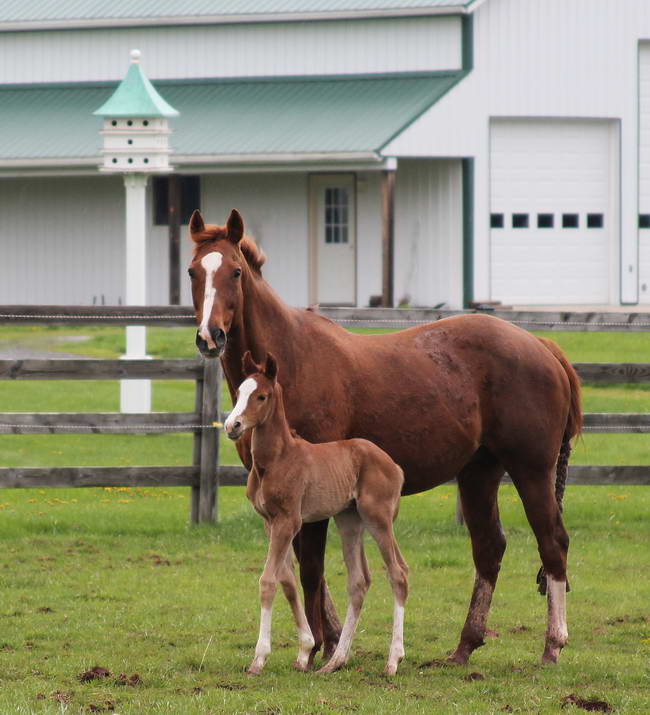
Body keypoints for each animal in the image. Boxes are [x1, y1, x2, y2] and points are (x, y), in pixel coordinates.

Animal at [223, 352, 404, 676]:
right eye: (240, 392)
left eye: (261, 396)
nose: (233, 425)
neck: (277, 459)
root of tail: (394, 465)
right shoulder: (270, 522)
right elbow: (287, 581)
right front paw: (305, 650)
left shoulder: (289, 521)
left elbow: (268, 581)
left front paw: (259, 658)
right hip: (349, 521)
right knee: (359, 581)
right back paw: (335, 662)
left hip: (379, 519)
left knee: (397, 574)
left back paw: (393, 661)